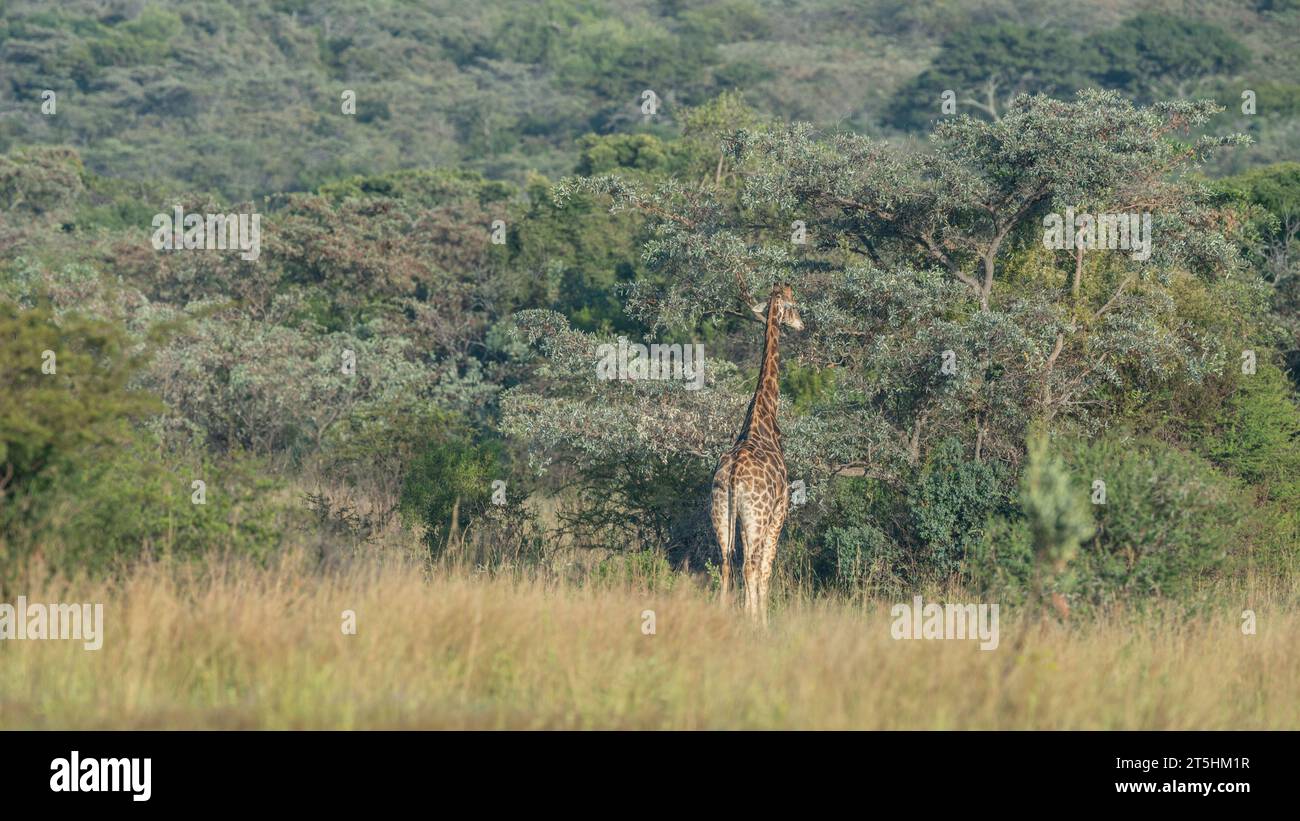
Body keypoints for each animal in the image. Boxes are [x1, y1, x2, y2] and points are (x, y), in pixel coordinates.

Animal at [710, 283, 803, 625]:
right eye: (794, 305)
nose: (801, 325)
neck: (762, 417)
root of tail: (734, 474)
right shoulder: (780, 512)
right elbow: (766, 569)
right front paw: (763, 620)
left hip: (721, 510)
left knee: (726, 562)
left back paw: (723, 616)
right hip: (758, 515)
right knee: (751, 564)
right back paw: (753, 622)